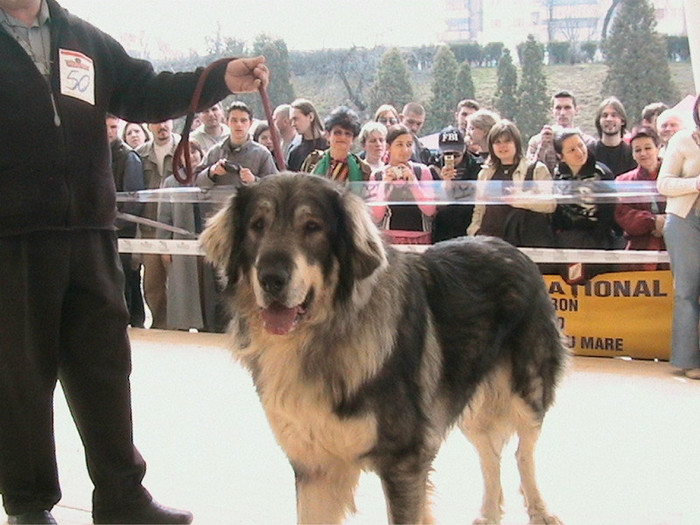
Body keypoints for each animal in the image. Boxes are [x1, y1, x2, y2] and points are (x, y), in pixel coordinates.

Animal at [200, 174, 568, 520]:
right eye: (257, 226)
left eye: (313, 227)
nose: (271, 278)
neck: (320, 338)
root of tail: (511, 248)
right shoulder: (315, 467)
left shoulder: (403, 462)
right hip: (471, 405)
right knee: (490, 454)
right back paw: (489, 513)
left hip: (525, 395)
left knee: (523, 453)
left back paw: (540, 511)